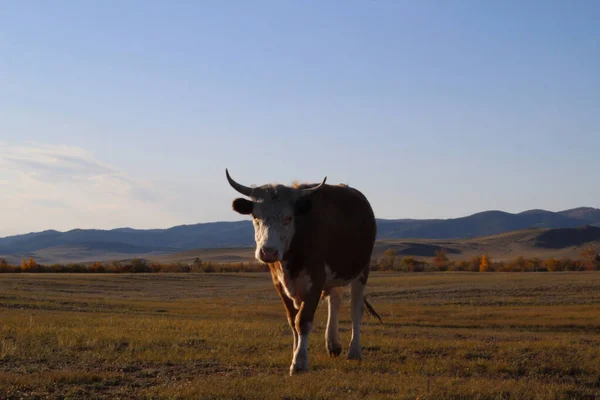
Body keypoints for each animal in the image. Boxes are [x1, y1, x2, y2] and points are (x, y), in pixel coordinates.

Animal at [225, 168, 380, 376]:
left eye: (288, 218)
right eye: (255, 217)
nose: (268, 252)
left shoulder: (316, 280)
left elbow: (303, 321)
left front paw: (299, 361)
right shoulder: (279, 283)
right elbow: (293, 320)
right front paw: (295, 351)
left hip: (362, 270)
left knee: (356, 309)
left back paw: (354, 351)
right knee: (335, 300)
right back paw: (333, 344)